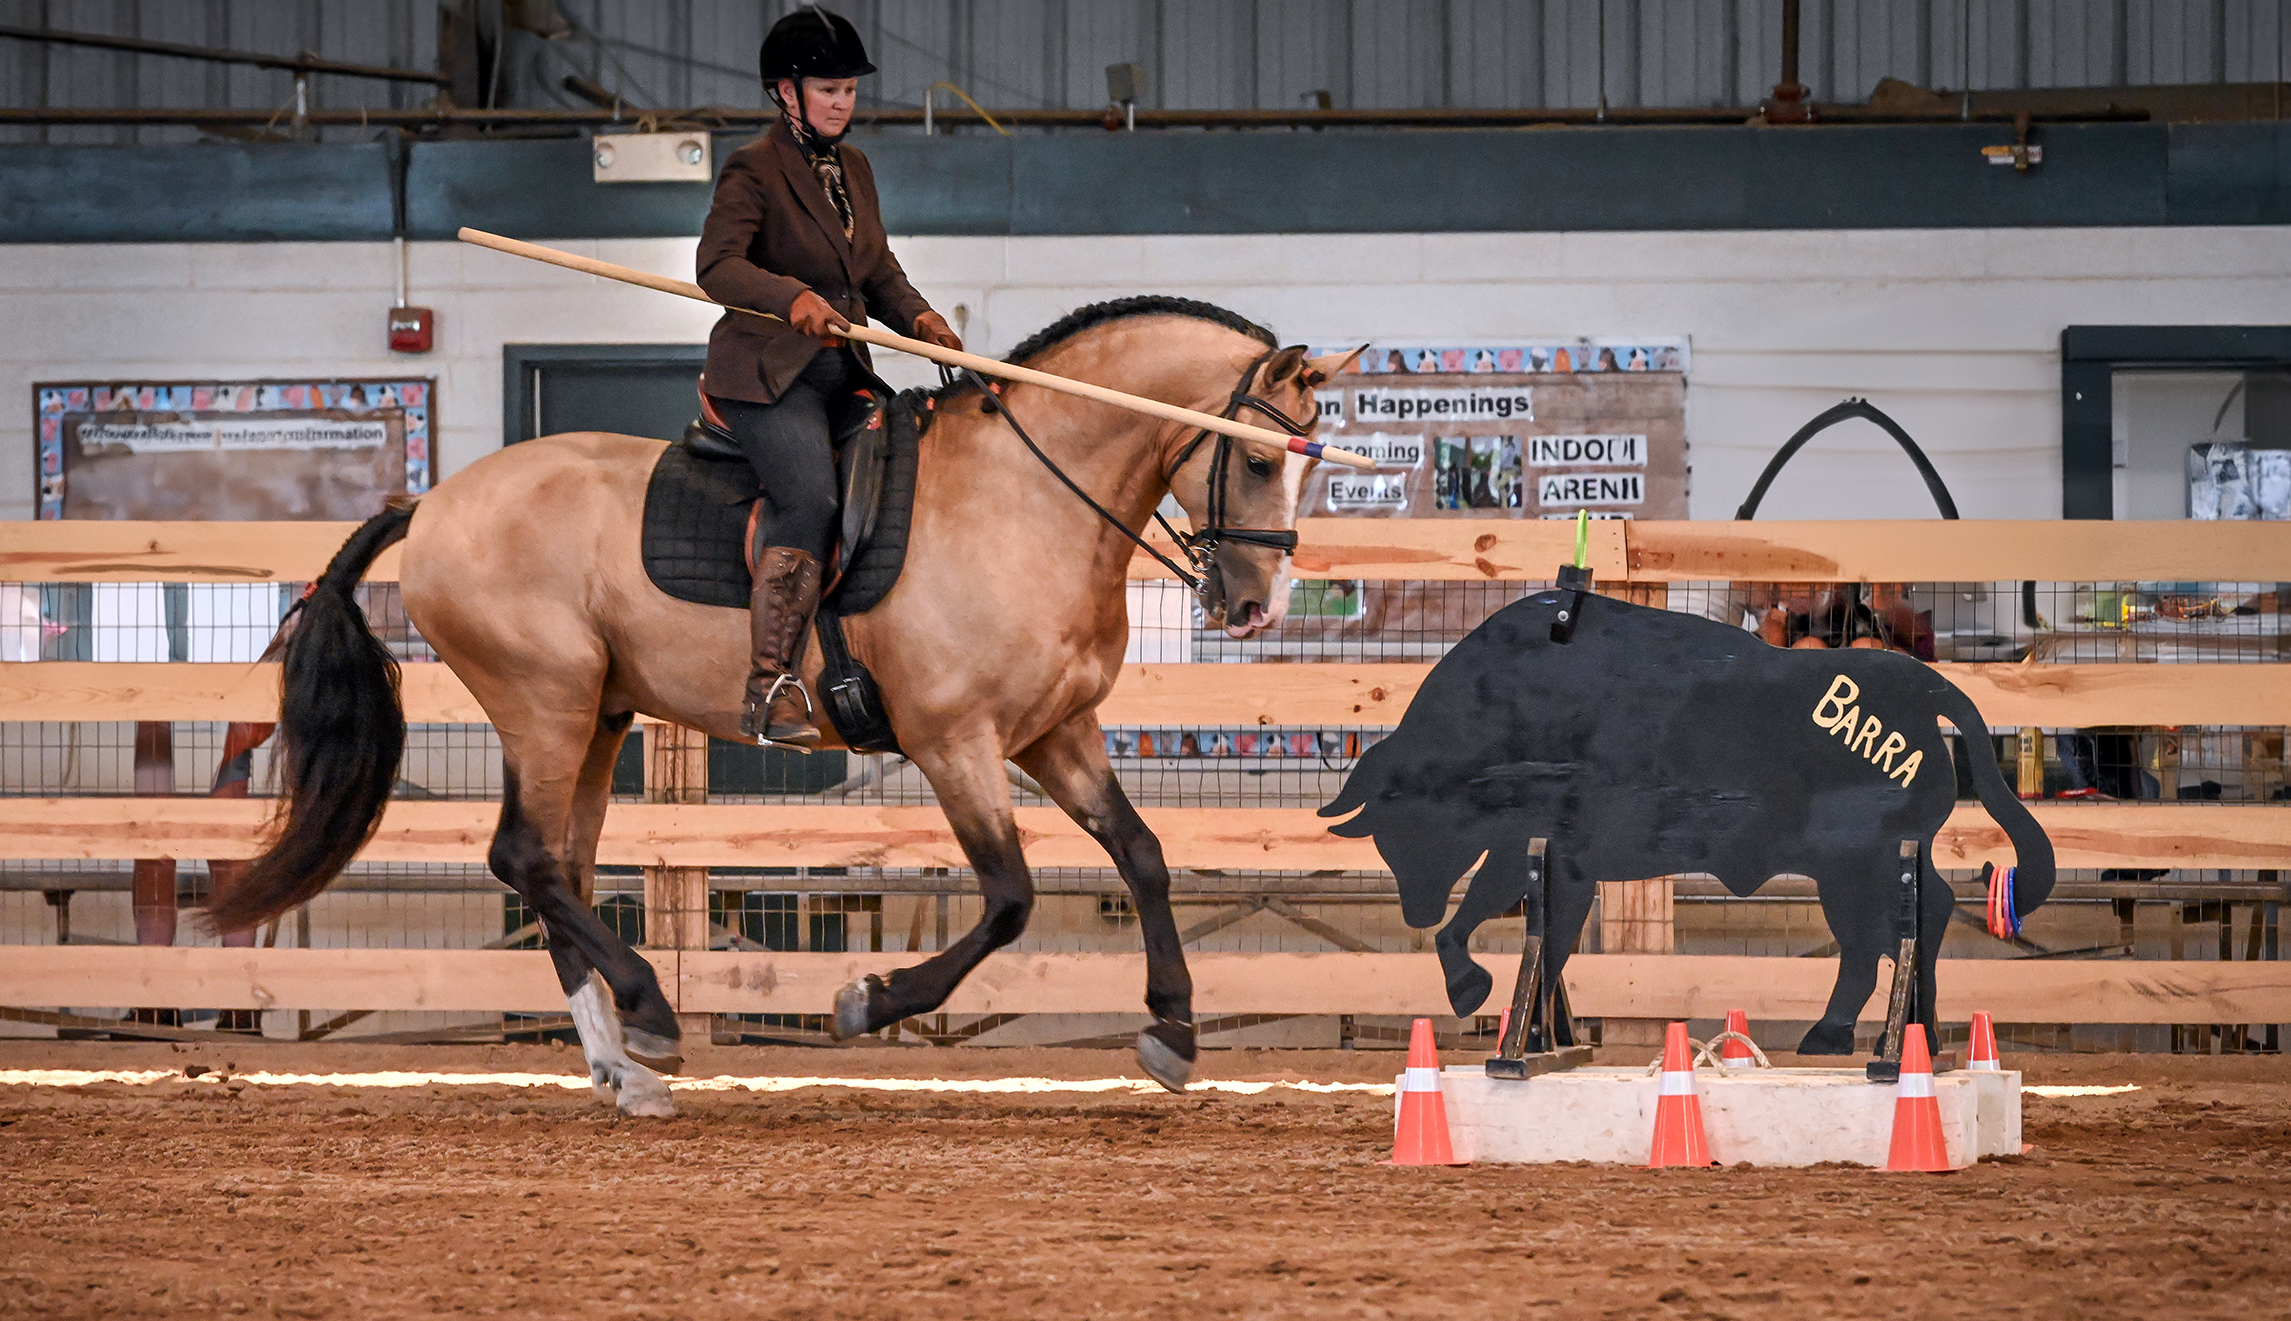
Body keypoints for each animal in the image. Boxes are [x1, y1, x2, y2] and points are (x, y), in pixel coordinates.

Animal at [1319, 584, 2054, 1056]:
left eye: (1411, 824)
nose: (1413, 909)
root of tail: (1926, 684)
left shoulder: (1551, 854)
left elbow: (1514, 936)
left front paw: (1483, 1001)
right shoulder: (1541, 857)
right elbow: (1522, 937)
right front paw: (1526, 1029)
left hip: (1853, 867)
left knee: (1872, 944)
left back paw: (1836, 1034)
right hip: (1885, 861)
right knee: (1920, 926)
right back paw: (1913, 1036)